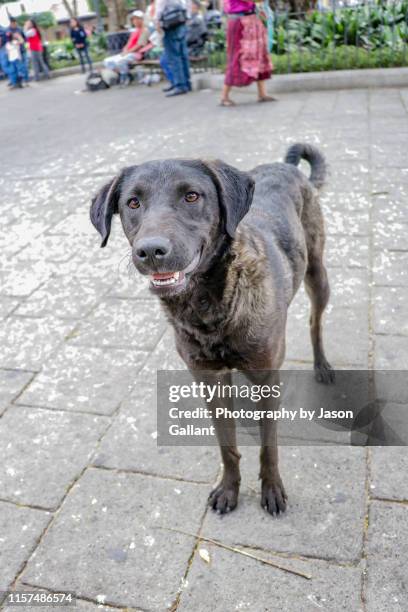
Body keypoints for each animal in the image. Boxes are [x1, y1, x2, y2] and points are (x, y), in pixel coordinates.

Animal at [91, 145, 334, 516]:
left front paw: (272, 488)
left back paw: (322, 365)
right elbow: (226, 446)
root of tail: (287, 166)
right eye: (132, 202)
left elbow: (269, 445)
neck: (209, 307)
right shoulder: (209, 379)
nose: (150, 251)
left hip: (318, 274)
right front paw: (229, 488)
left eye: (192, 196)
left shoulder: (267, 376)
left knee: (314, 322)